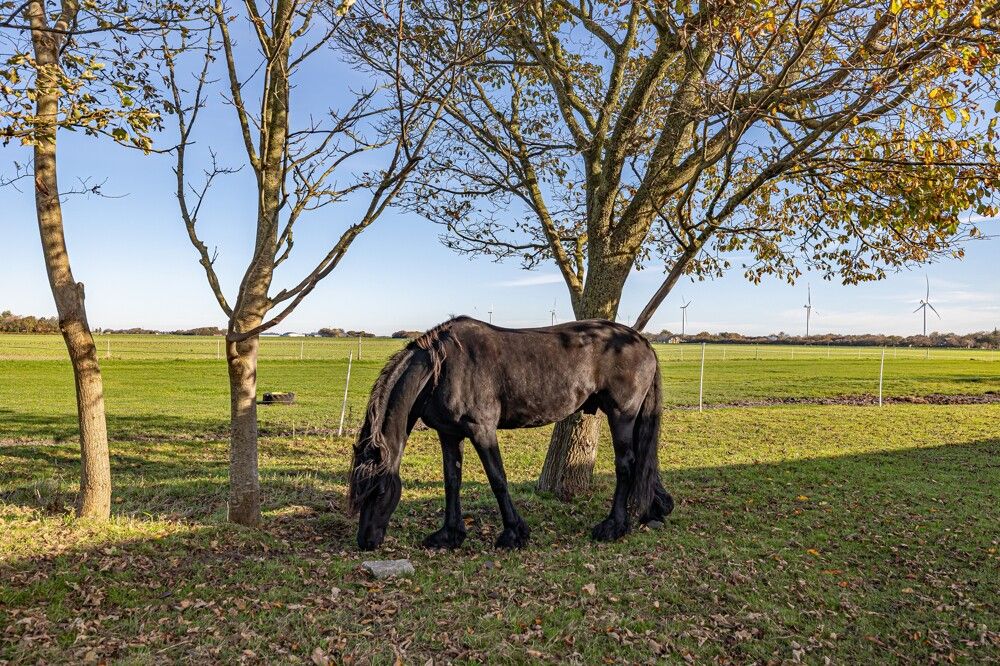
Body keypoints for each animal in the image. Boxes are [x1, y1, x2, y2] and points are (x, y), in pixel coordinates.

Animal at [347, 316, 674, 551]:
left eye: (378, 491)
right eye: (357, 492)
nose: (366, 541)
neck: (443, 367)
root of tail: (641, 341)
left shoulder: (482, 430)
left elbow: (498, 480)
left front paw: (514, 534)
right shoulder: (449, 434)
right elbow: (452, 481)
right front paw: (449, 535)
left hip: (622, 415)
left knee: (626, 465)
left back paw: (613, 526)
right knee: (643, 463)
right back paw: (654, 509)